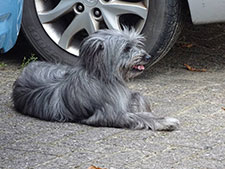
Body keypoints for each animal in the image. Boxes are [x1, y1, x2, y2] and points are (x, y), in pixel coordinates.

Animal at [13, 29, 180, 131]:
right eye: (126, 48)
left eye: (135, 44)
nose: (147, 56)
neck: (103, 76)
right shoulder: (110, 115)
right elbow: (139, 117)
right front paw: (165, 121)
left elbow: (138, 97)